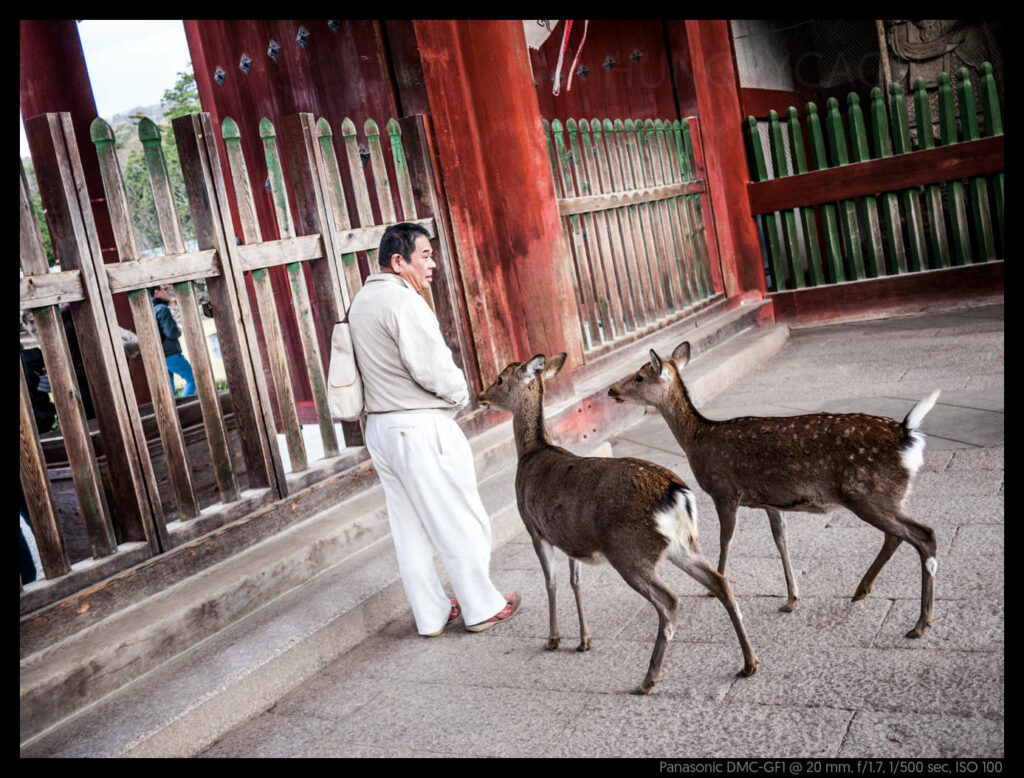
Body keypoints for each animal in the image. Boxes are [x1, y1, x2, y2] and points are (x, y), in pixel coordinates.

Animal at [475, 352, 757, 692]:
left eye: (500, 379)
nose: (480, 396)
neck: (533, 450)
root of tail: (678, 494)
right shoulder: (571, 538)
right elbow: (576, 582)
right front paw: (584, 640)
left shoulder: (534, 528)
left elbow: (551, 582)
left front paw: (553, 639)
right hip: (684, 545)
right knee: (720, 582)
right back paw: (749, 662)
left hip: (629, 552)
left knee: (669, 600)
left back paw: (648, 680)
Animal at [606, 339, 942, 638]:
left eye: (639, 375)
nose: (611, 390)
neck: (698, 439)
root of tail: (907, 433)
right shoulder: (770, 502)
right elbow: (781, 540)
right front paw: (792, 598)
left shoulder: (724, 491)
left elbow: (726, 539)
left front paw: (715, 588)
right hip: (886, 495)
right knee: (896, 536)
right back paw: (862, 590)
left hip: (867, 493)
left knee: (923, 534)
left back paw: (920, 624)